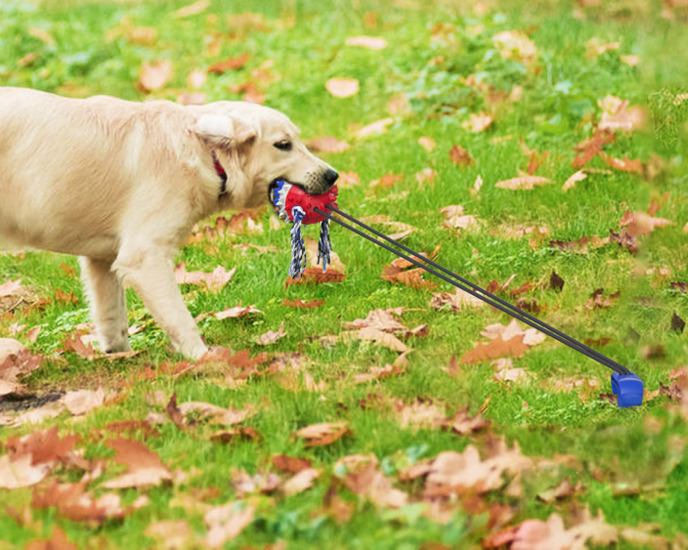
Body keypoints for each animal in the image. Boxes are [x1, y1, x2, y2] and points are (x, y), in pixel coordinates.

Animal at [0, 88, 338, 360]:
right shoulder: (144, 256)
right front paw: (204, 359)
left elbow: (112, 318)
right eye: (283, 144)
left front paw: (118, 356)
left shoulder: (102, 258)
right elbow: (180, 319)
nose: (333, 175)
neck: (206, 152)